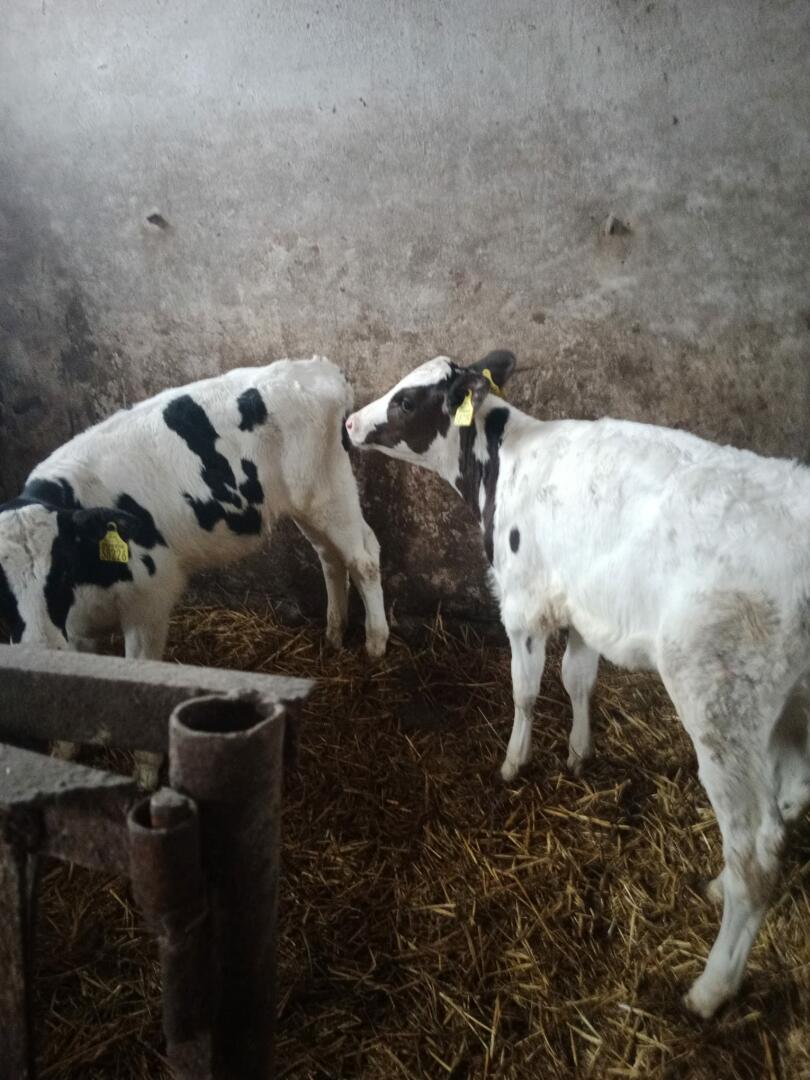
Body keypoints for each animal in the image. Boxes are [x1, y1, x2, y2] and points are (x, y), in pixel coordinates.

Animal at [0, 357, 389, 786]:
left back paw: (375, 642)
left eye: (62, 567)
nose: (40, 649)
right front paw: (64, 751)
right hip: (309, 502)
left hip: (327, 491)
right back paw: (335, 633)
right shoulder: (78, 627)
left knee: (363, 558)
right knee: (330, 556)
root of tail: (316, 366)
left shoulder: (149, 604)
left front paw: (145, 778)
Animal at [344, 349, 810, 1019]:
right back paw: (720, 888)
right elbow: (578, 681)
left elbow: (525, 690)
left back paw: (711, 986)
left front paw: (514, 763)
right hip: (788, 705)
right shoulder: (583, 604)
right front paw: (579, 754)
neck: (504, 464)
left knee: (757, 852)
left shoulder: (523, 602)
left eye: (406, 400)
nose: (350, 423)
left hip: (723, 701)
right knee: (789, 800)